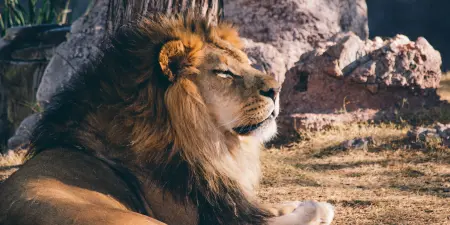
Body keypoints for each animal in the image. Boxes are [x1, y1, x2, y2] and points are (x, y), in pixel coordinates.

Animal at [0, 14, 334, 225]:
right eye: (224, 72)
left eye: (246, 63)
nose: (276, 89)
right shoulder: (202, 217)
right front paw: (316, 209)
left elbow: (269, 208)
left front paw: (298, 204)